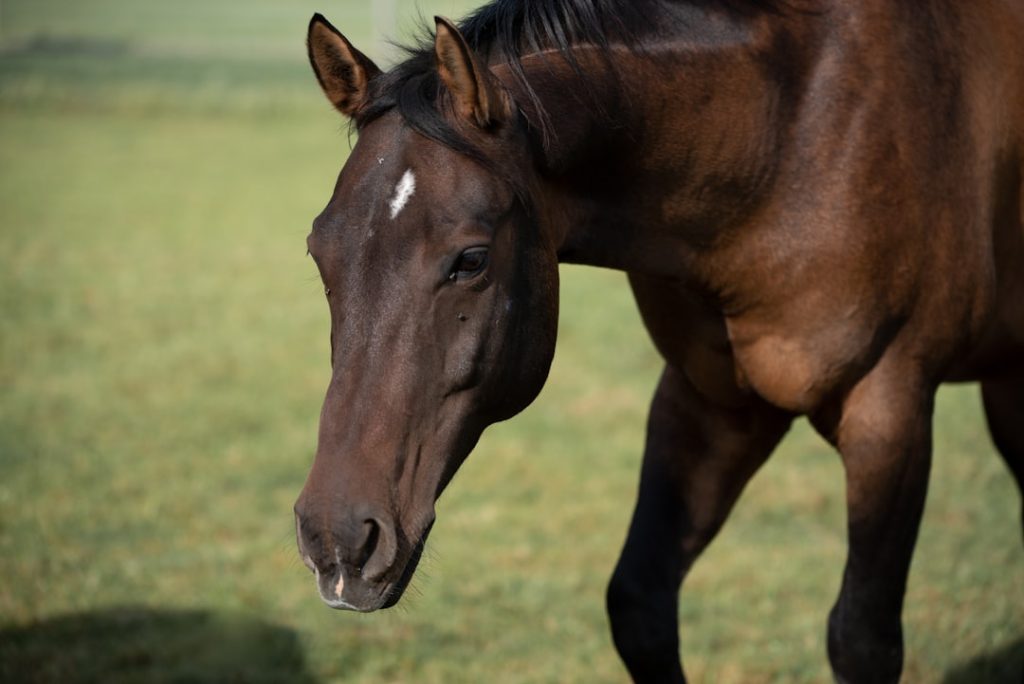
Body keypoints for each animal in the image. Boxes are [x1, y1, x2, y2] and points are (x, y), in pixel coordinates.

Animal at [292, 1, 1024, 681]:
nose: (338, 540)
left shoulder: (890, 409)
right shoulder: (710, 402)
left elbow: (862, 638)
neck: (789, 135)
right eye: (319, 252)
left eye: (469, 260)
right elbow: (639, 604)